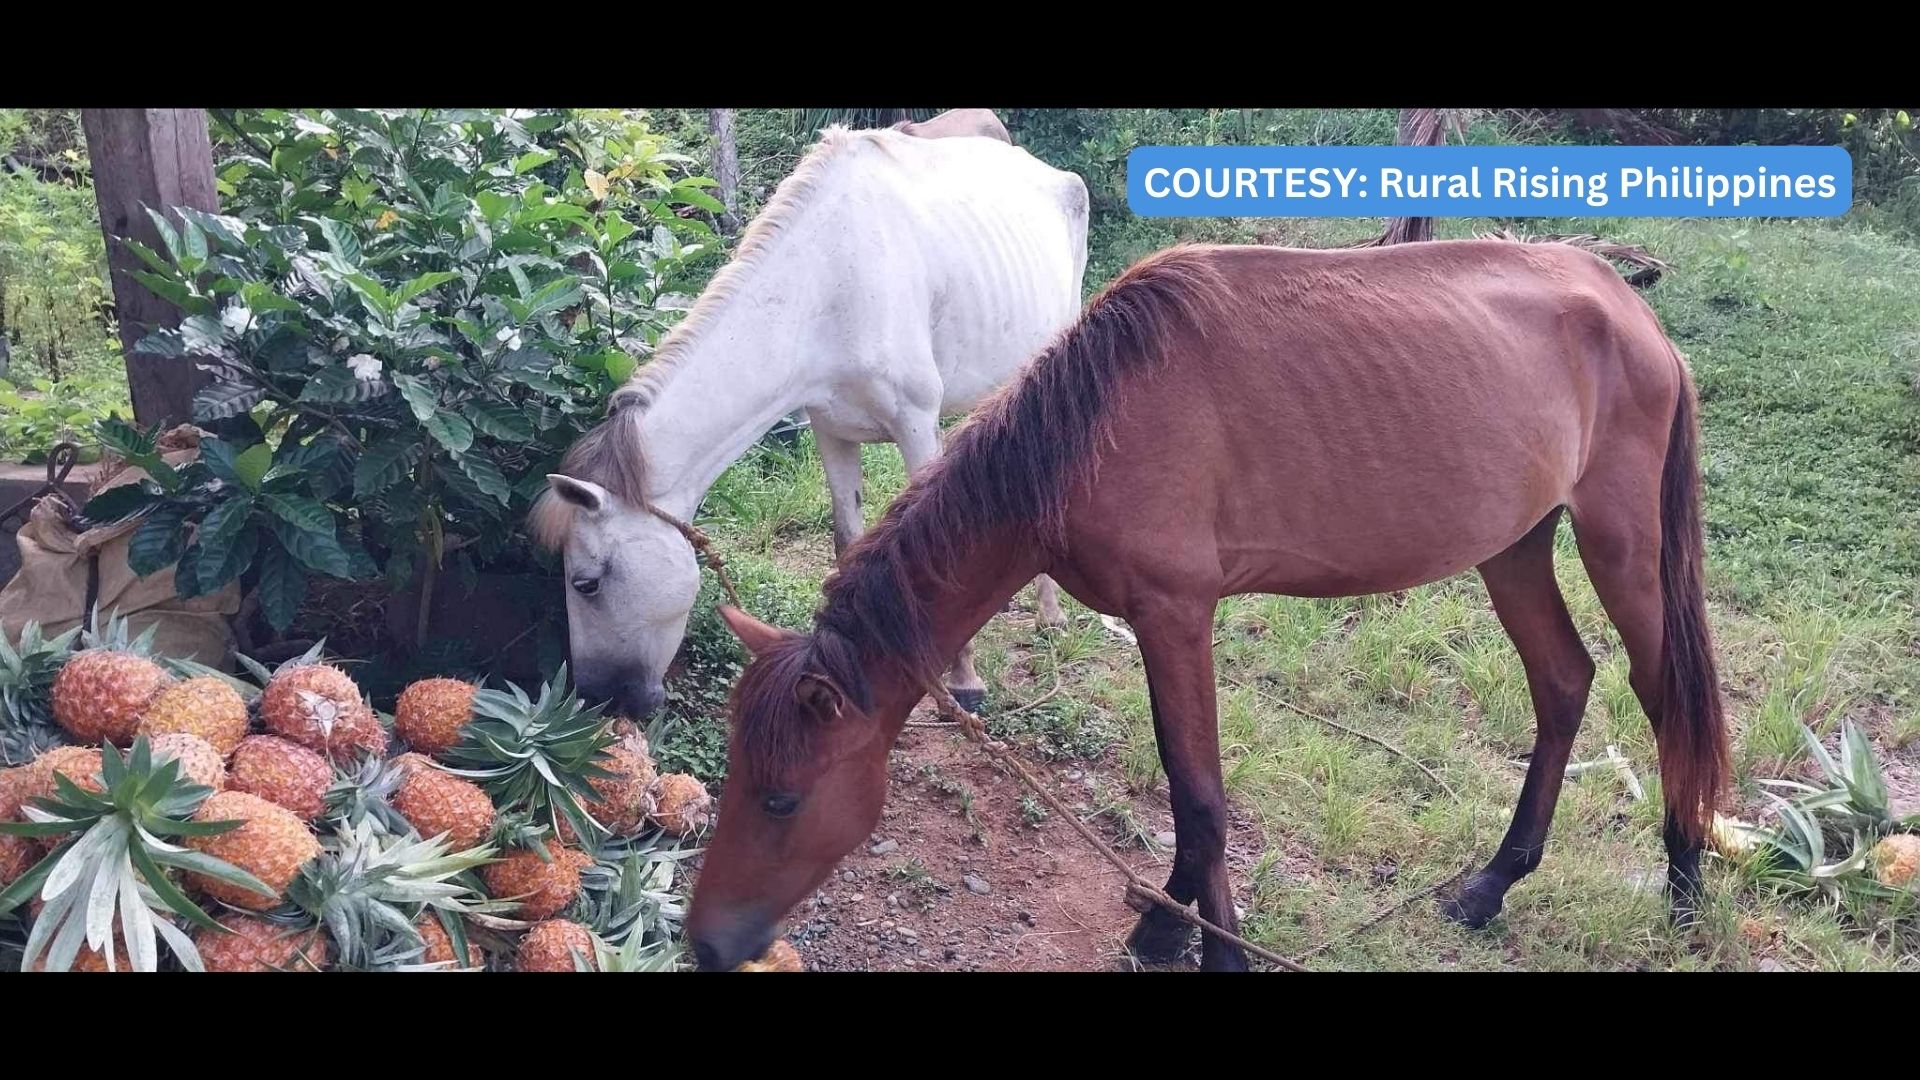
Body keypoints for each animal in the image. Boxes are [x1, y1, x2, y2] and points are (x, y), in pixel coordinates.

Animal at [533, 115, 1090, 714]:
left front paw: (963, 683)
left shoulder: (916, 424)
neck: (832, 286)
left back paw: (1050, 614)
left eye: (586, 583)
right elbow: (847, 541)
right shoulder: (831, 430)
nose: (597, 699)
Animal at [687, 237, 1728, 968]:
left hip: (1620, 546)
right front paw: (1162, 924)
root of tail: (1630, 310)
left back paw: (1684, 885)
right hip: (1513, 548)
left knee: (1664, 695)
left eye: (782, 797)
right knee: (1563, 682)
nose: (704, 942)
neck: (1094, 425)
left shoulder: (1177, 614)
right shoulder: (1158, 625)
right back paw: (1492, 887)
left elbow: (1201, 800)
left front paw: (1207, 946)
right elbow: (1186, 789)